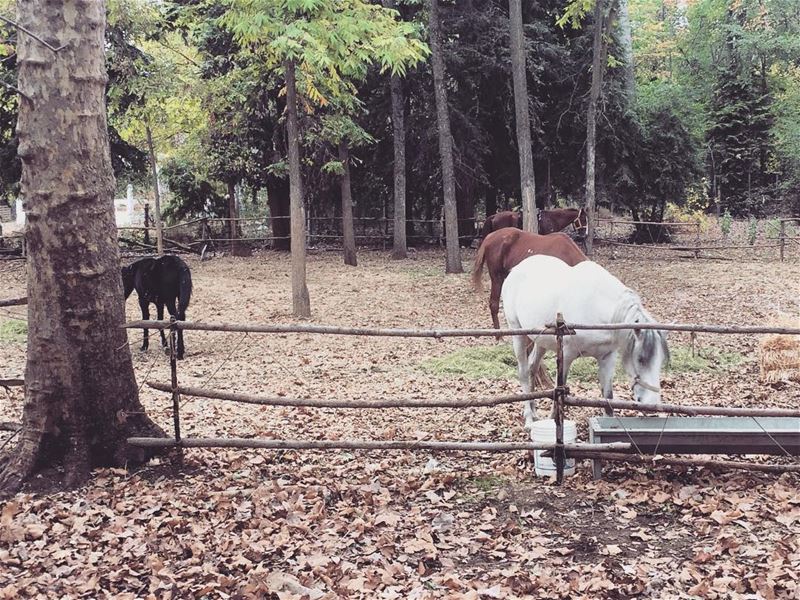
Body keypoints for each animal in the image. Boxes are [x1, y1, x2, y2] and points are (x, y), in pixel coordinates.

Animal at [506, 255, 668, 428]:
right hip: (518, 334)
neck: (595, 304)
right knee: (523, 372)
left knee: (532, 367)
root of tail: (516, 268)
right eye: (640, 359)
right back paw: (529, 418)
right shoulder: (566, 356)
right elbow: (559, 392)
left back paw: (534, 411)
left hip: (541, 340)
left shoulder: (607, 358)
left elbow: (608, 397)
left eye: (661, 361)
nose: (652, 404)